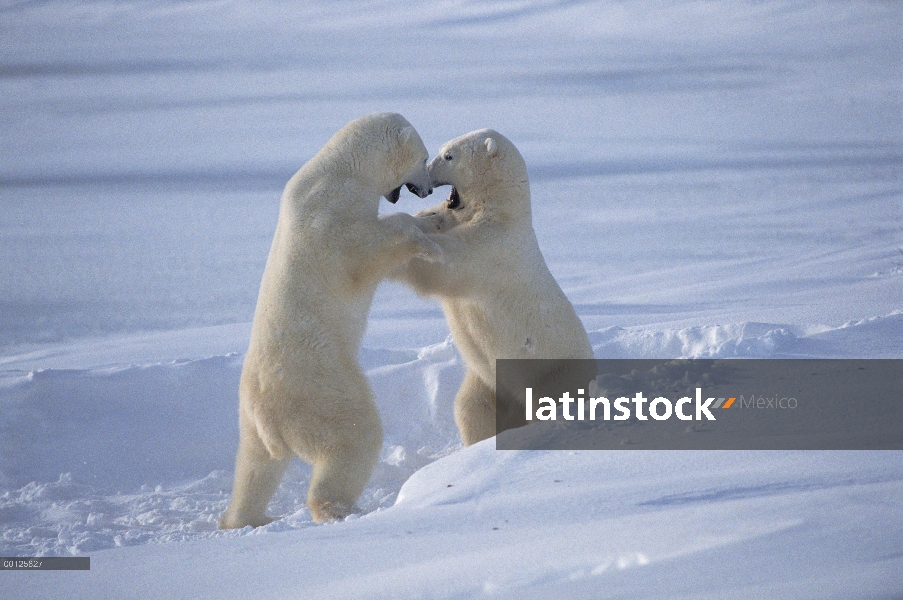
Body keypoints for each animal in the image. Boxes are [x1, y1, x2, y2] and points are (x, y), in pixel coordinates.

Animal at [222, 115, 442, 528]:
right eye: (423, 158)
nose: (428, 189)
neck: (340, 170)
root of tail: (267, 417)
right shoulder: (331, 219)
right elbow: (365, 252)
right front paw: (427, 241)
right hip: (322, 386)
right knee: (354, 436)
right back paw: (343, 509)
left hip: (249, 418)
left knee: (255, 467)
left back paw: (245, 517)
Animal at [394, 127, 592, 446]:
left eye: (448, 155)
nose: (421, 178)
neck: (501, 212)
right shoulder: (454, 218)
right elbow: (433, 220)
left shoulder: (492, 247)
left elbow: (447, 265)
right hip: (488, 383)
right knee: (471, 409)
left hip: (551, 371)